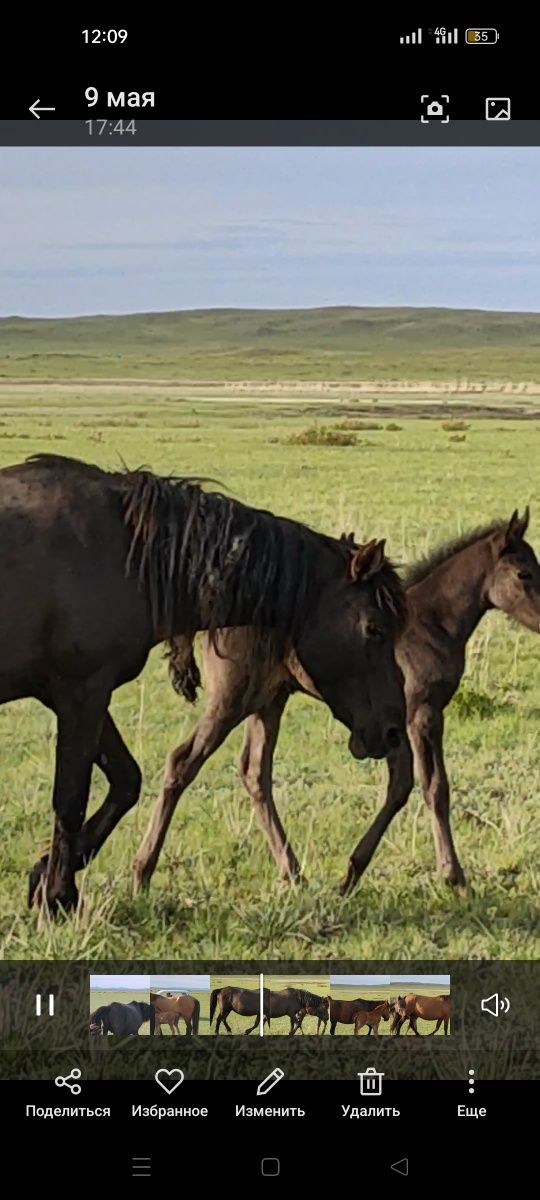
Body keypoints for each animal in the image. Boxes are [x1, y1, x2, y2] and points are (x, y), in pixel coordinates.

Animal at [132, 511, 540, 897]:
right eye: (523, 573)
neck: (432, 623)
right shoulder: (419, 716)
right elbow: (430, 787)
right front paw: (453, 878)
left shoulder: (399, 724)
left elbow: (403, 786)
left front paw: (350, 875)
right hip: (231, 700)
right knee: (183, 761)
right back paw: (142, 873)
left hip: (269, 700)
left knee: (254, 772)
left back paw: (293, 874)